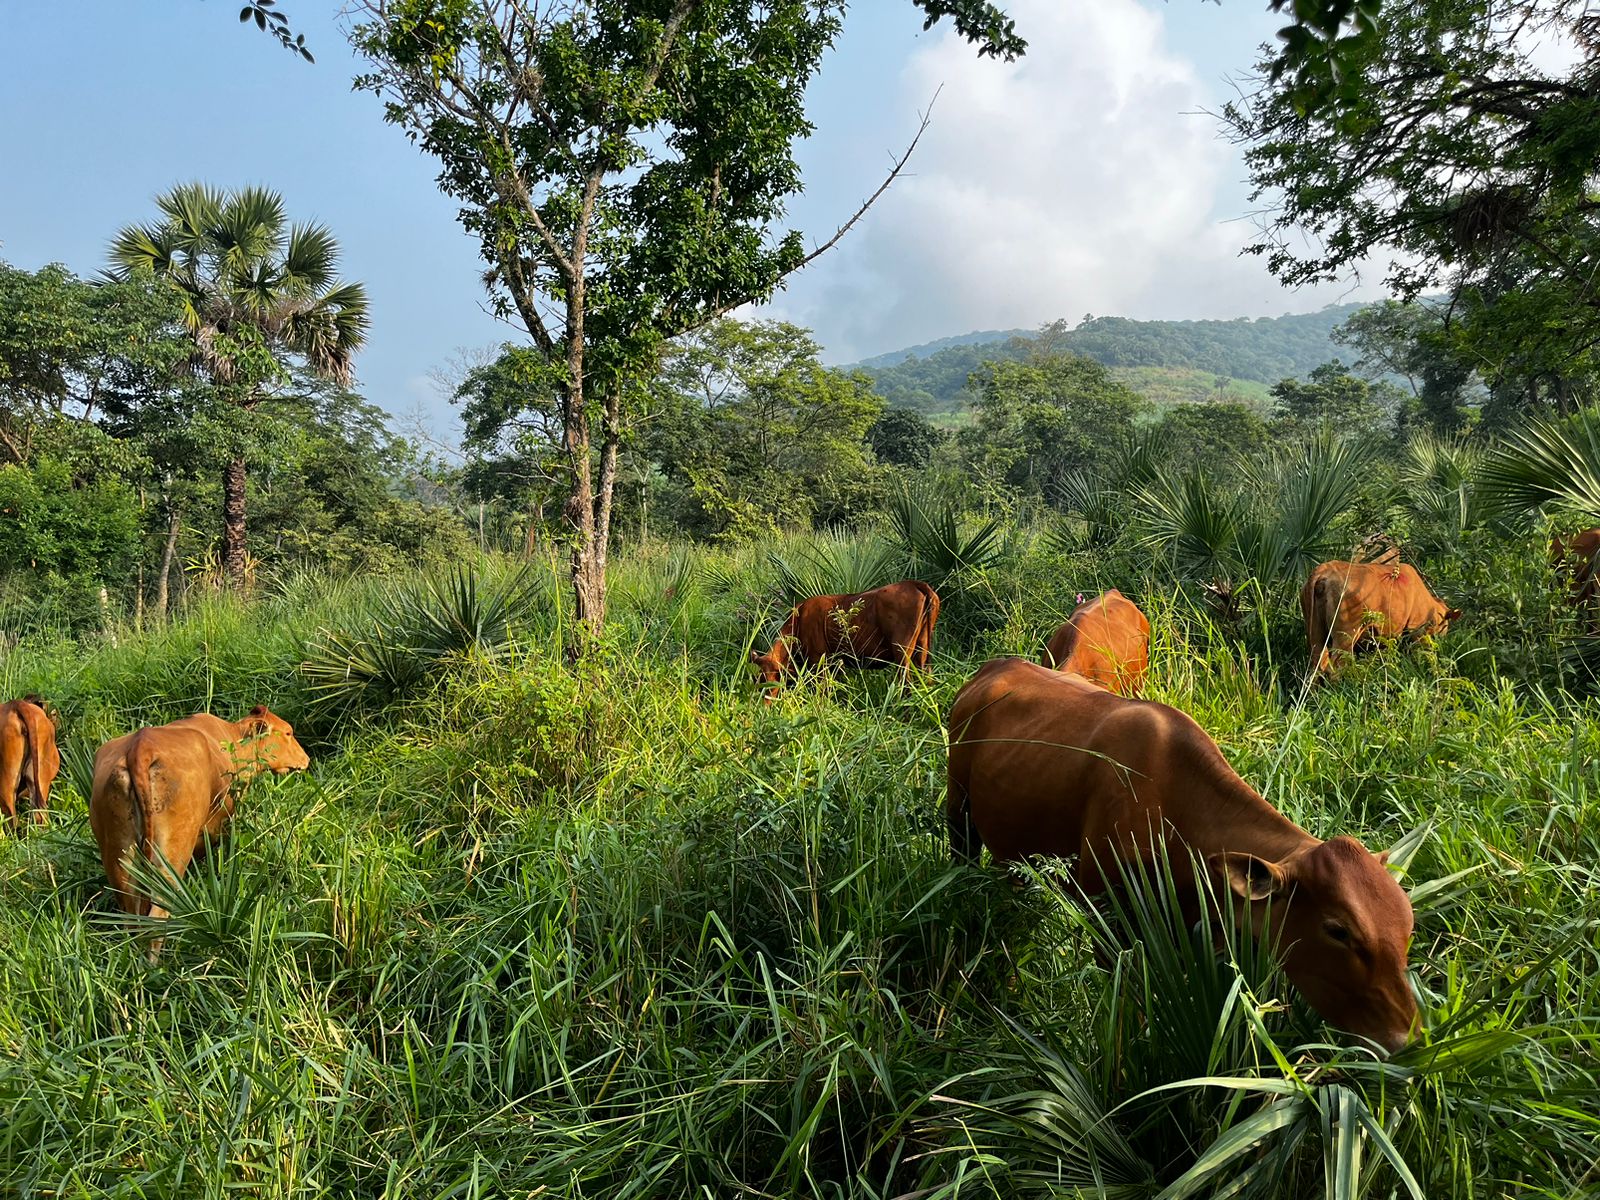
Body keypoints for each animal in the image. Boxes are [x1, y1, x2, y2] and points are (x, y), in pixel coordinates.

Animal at [751, 580, 940, 697]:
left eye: (771, 683)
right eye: (759, 681)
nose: (765, 707)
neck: (799, 621)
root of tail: (913, 583)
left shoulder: (818, 660)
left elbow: (823, 690)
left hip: (902, 652)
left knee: (905, 682)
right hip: (922, 649)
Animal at [947, 658, 1419, 1053]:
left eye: (1407, 927)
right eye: (1338, 930)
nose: (1406, 1037)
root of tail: (993, 668)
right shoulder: (1107, 920)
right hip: (959, 815)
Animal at [1301, 559, 1459, 675]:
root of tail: (1324, 571)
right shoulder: (1417, 631)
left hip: (1315, 633)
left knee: (1317, 664)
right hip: (1346, 635)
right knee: (1335, 667)